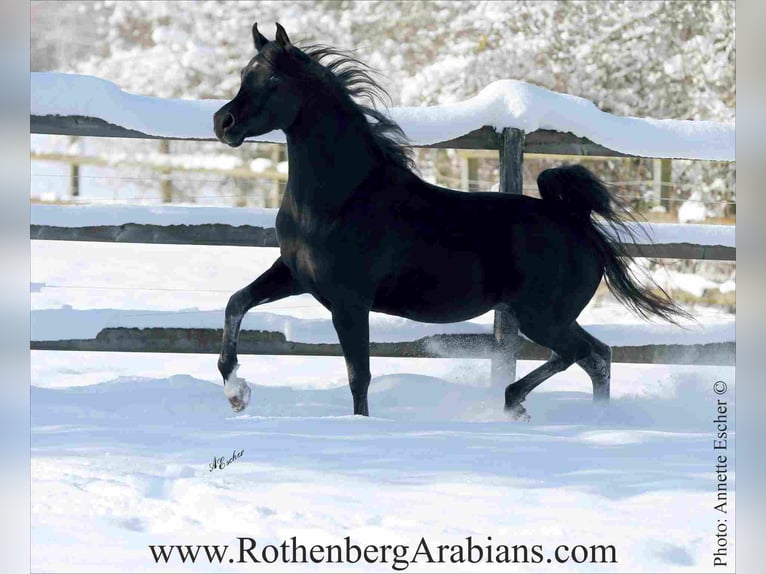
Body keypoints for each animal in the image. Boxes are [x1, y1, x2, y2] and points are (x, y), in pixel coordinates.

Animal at [212, 22, 688, 419]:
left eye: (273, 81)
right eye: (243, 74)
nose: (223, 122)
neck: (340, 200)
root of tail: (575, 220)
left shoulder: (350, 302)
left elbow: (358, 377)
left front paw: (360, 427)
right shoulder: (295, 275)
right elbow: (236, 302)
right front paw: (237, 393)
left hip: (542, 317)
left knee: (581, 355)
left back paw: (516, 403)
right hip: (550, 316)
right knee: (598, 357)